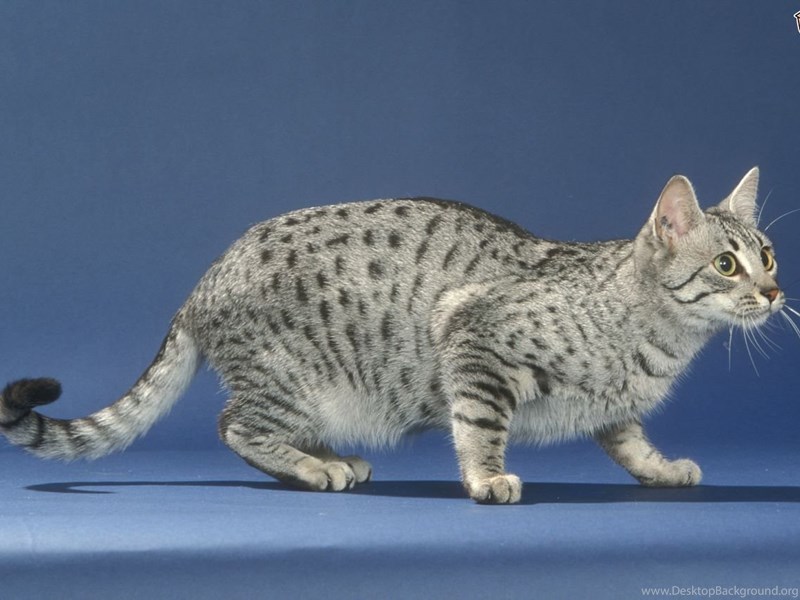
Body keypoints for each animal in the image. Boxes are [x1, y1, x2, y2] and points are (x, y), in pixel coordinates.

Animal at [0, 167, 784, 503]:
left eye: (769, 255)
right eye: (726, 264)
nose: (776, 292)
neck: (661, 343)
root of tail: (204, 283)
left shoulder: (615, 407)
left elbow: (630, 442)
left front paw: (662, 469)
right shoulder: (473, 340)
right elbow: (479, 428)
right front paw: (488, 479)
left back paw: (326, 457)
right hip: (290, 382)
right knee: (234, 426)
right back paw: (314, 468)